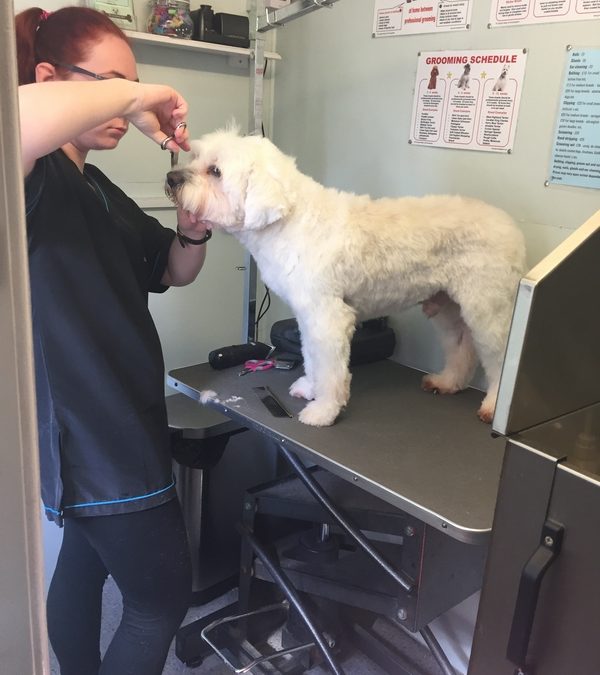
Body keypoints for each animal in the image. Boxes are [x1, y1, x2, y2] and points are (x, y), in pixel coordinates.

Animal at [164, 129, 524, 426]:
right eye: (196, 157)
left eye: (215, 171)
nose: (171, 177)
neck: (291, 222)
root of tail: (512, 228)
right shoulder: (308, 316)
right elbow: (312, 358)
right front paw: (309, 388)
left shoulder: (329, 317)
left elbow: (331, 369)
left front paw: (323, 411)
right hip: (448, 307)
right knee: (462, 348)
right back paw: (447, 382)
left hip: (486, 308)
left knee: (501, 361)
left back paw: (492, 407)